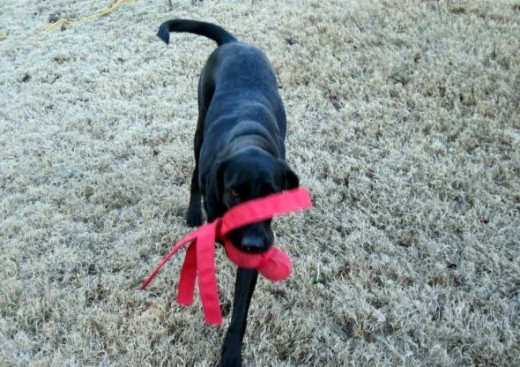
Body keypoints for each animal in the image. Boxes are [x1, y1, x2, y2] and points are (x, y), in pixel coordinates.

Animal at [156, 19, 298, 367]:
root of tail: (234, 43)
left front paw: (232, 353)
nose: (254, 244)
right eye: (234, 192)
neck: (248, 138)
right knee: (194, 174)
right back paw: (193, 211)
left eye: (272, 193)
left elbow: (240, 312)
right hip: (200, 124)